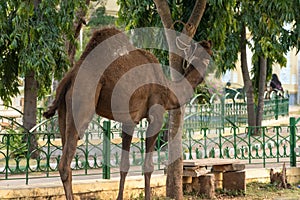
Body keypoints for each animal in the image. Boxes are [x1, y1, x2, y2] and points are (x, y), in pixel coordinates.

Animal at [44, 27, 213, 200]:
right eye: (207, 54)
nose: (208, 65)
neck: (168, 89)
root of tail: (70, 77)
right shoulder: (156, 115)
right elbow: (148, 166)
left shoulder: (129, 121)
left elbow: (124, 165)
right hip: (82, 101)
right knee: (65, 163)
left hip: (63, 111)